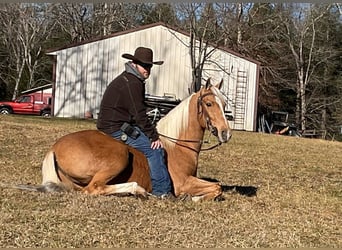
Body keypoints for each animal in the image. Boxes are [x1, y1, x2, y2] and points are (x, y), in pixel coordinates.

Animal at [12, 78, 231, 201]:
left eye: (224, 103)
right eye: (209, 104)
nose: (226, 133)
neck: (177, 145)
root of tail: (55, 148)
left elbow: (217, 187)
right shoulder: (183, 183)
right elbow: (217, 187)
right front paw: (192, 198)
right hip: (119, 157)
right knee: (94, 189)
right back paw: (138, 191)